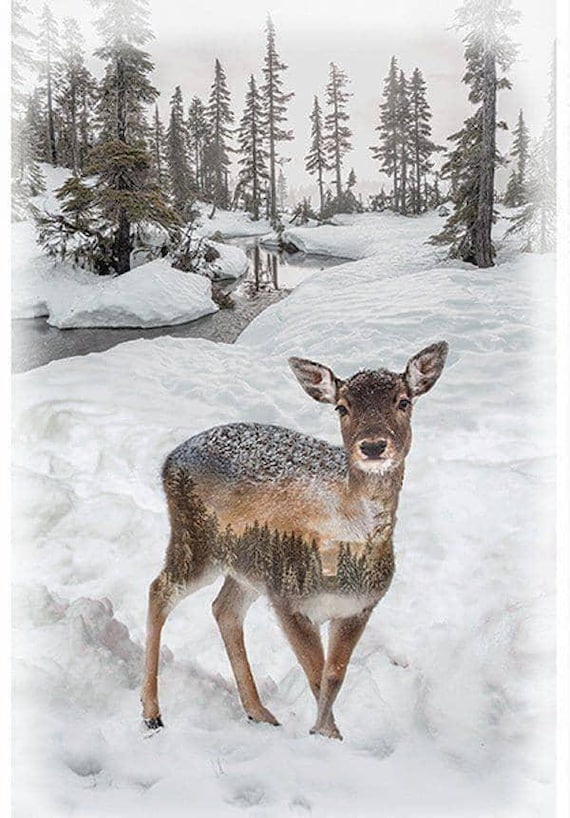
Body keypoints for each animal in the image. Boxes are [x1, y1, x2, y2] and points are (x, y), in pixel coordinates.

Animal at [141, 341, 448, 740]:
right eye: (342, 407)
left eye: (403, 401)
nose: (373, 446)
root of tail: (169, 460)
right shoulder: (289, 598)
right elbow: (316, 675)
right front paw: (326, 736)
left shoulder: (360, 606)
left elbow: (334, 676)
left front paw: (327, 734)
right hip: (197, 540)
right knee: (159, 589)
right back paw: (152, 713)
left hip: (248, 564)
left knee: (224, 609)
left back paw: (259, 712)